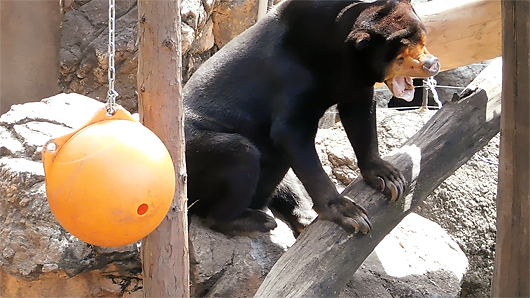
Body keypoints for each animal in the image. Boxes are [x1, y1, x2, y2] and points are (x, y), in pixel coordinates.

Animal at [184, 0, 440, 235]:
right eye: (400, 56)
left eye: (423, 42)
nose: (433, 64)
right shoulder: (290, 77)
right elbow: (290, 134)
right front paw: (348, 213)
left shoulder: (354, 83)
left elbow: (360, 115)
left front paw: (388, 177)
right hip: (196, 156)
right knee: (238, 154)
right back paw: (255, 220)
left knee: (286, 183)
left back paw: (303, 218)